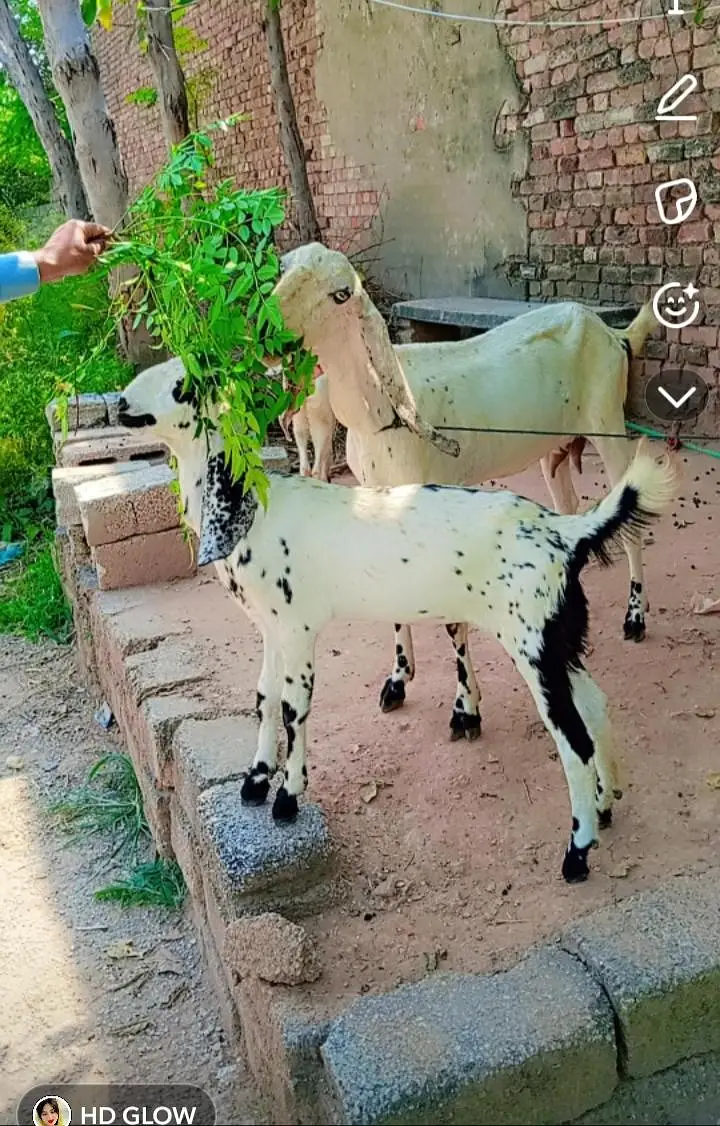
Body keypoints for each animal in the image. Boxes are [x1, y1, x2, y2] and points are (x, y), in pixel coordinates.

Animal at [117, 358, 677, 883]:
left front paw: (287, 798)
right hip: (557, 639)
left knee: (574, 742)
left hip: (532, 645)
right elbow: (263, 699)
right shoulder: (271, 627)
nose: (121, 402)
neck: (255, 505)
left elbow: (295, 708)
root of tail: (567, 532)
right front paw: (254, 780)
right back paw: (606, 804)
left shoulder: (297, 628)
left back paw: (577, 854)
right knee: (596, 707)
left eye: (181, 385)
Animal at [272, 243, 659, 740]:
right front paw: (397, 681)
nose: (268, 329)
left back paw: (635, 617)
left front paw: (465, 710)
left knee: (631, 524)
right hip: (554, 446)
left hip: (608, 425)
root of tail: (615, 334)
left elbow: (454, 621)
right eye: (283, 268)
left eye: (341, 293)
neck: (385, 414)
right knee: (567, 508)